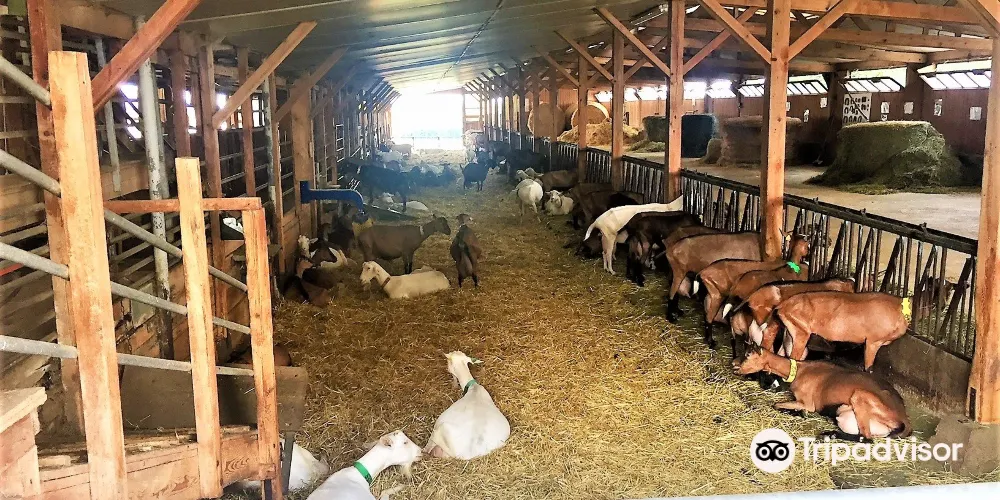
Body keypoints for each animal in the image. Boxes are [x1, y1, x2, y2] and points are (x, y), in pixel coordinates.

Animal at [734, 345, 911, 441]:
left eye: (748, 355)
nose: (734, 363)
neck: (799, 370)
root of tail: (903, 419)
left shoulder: (807, 402)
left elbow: (777, 404)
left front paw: (799, 413)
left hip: (859, 397)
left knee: (866, 437)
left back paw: (829, 435)